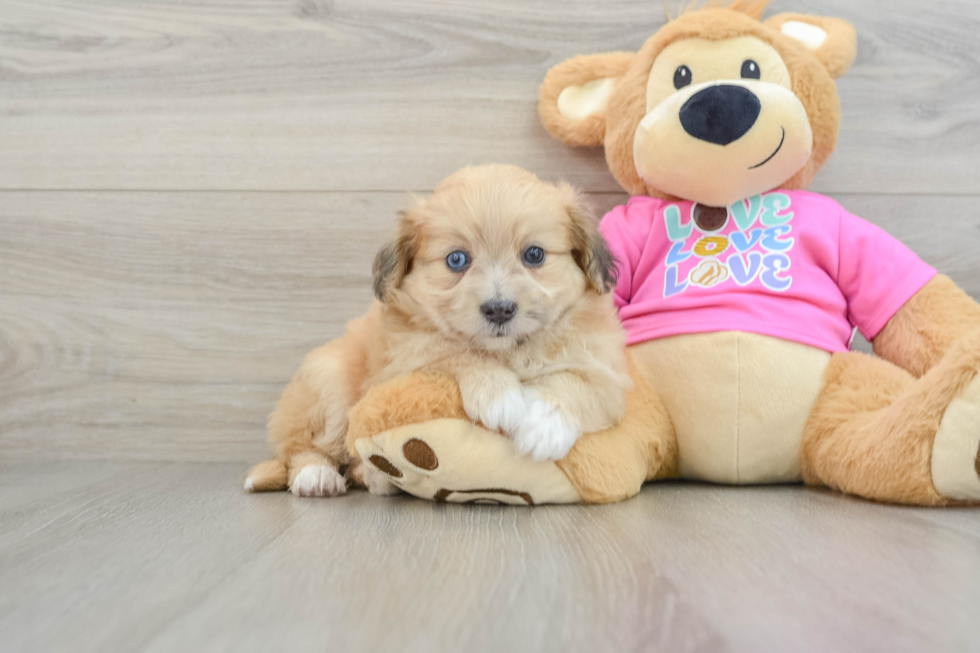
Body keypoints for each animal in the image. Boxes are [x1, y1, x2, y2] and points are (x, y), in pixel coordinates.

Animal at [245, 166, 628, 496]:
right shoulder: (403, 362)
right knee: (303, 448)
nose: (499, 309)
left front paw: (545, 425)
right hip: (328, 383)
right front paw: (499, 394)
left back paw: (375, 476)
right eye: (456, 260)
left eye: (534, 255)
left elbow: (578, 383)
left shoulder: (607, 372)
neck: (509, 351)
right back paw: (318, 476)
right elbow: (452, 350)